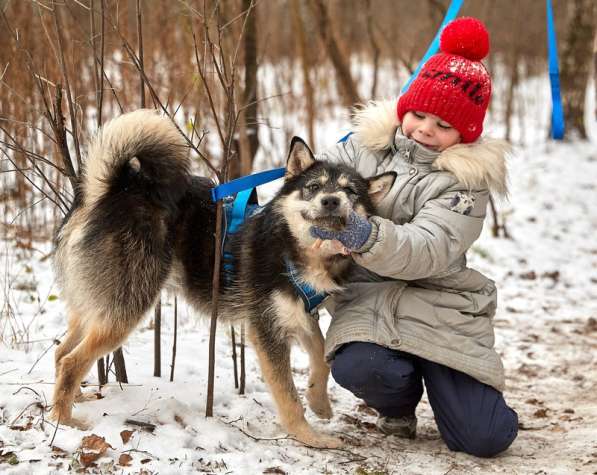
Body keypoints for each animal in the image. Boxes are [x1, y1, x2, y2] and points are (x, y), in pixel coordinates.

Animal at [50, 109, 396, 448]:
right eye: (313, 187)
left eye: (350, 191)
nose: (331, 201)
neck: (291, 246)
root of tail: (112, 190)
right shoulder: (266, 328)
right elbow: (288, 396)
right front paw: (309, 436)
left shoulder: (298, 313)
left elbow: (322, 355)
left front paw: (319, 402)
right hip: (127, 306)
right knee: (71, 361)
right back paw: (64, 421)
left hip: (97, 305)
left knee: (61, 352)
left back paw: (71, 400)